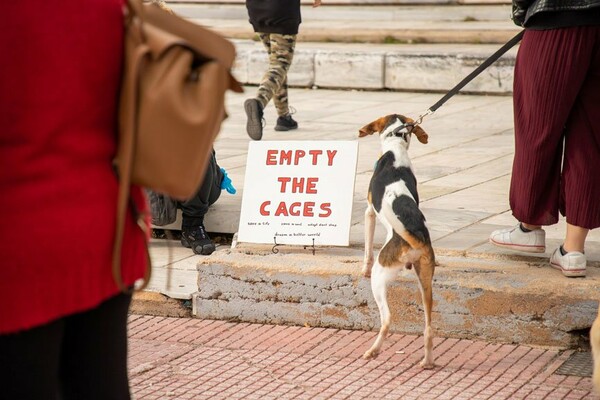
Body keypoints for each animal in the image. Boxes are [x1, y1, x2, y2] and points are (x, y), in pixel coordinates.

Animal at [356, 112, 436, 368]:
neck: (395, 147)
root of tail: (417, 236)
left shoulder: (369, 213)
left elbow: (367, 250)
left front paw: (363, 268)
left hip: (380, 277)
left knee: (387, 320)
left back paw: (373, 351)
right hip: (426, 281)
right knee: (428, 328)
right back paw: (427, 362)